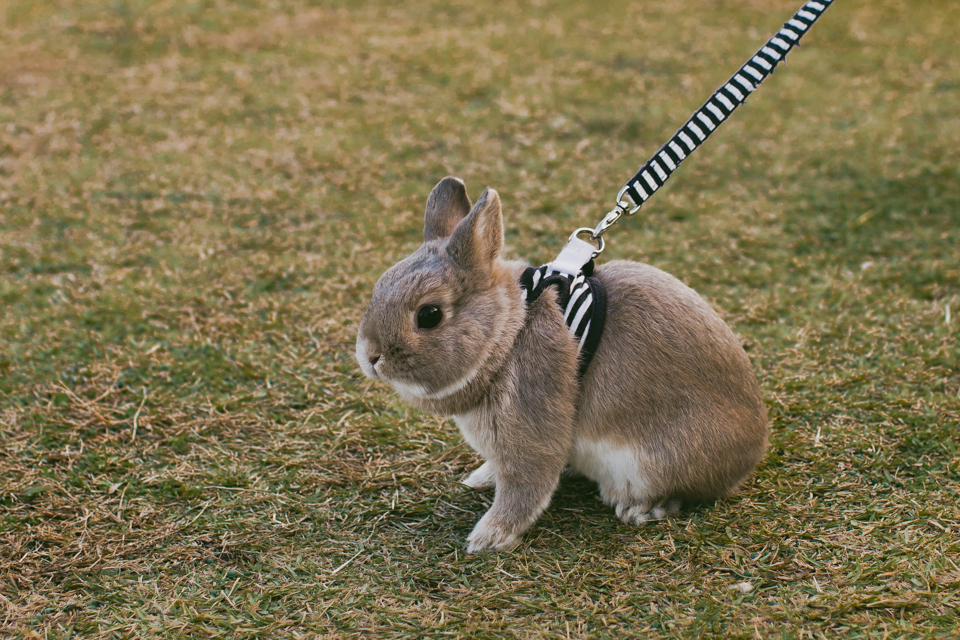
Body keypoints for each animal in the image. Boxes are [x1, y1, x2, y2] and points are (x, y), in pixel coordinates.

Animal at [356, 178, 768, 552]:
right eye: (379, 286)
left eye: (429, 315)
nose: (370, 356)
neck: (509, 334)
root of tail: (750, 453)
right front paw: (479, 480)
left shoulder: (530, 433)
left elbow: (524, 489)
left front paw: (488, 538)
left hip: (656, 461)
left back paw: (638, 509)